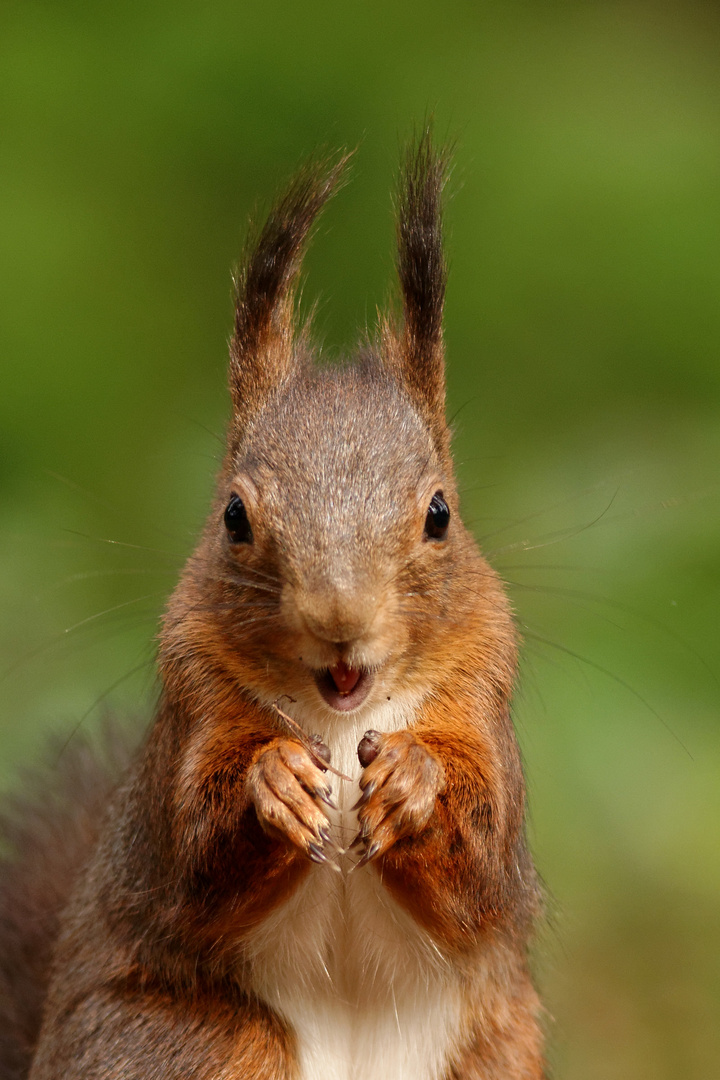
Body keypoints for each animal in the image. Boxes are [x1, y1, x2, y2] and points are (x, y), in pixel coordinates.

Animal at [0, 135, 546, 1080]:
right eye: (234, 516)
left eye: (440, 513)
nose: (340, 621)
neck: (343, 715)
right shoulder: (192, 708)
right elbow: (194, 848)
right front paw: (274, 783)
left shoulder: (482, 701)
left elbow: (480, 861)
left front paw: (415, 779)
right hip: (191, 1039)